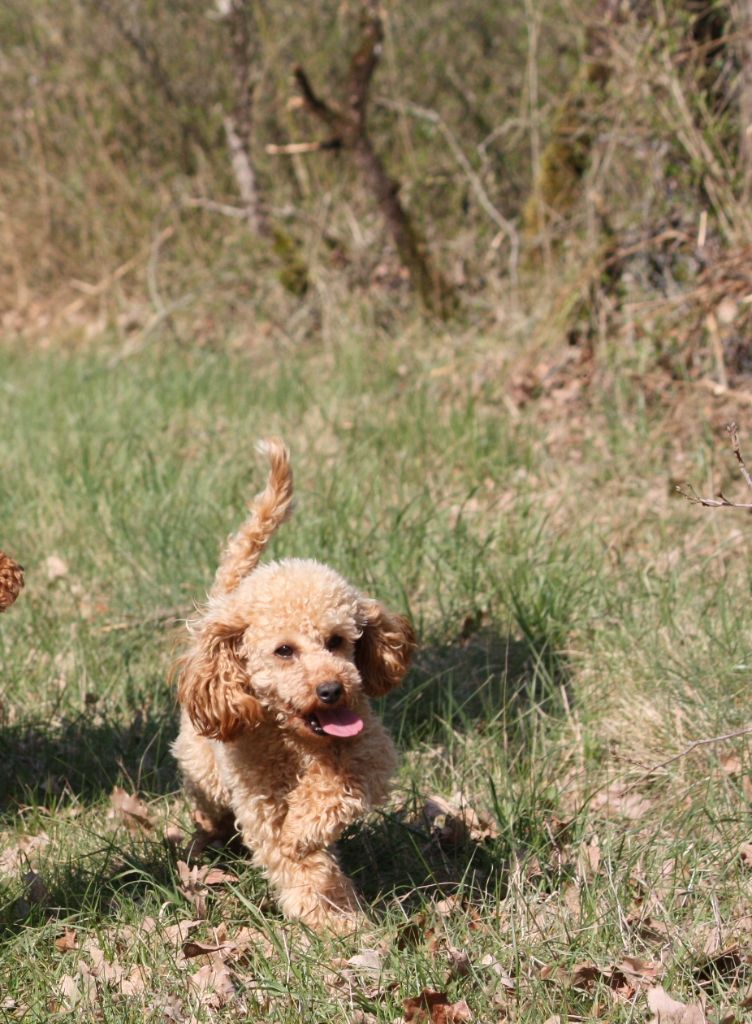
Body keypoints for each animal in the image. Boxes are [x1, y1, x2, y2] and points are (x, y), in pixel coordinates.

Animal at [172, 436, 418, 933]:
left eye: (338, 641)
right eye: (284, 650)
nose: (331, 690)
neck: (298, 742)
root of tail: (224, 602)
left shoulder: (372, 752)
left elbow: (336, 788)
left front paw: (305, 826)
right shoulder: (258, 800)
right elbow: (297, 863)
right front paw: (333, 922)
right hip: (202, 764)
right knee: (207, 801)